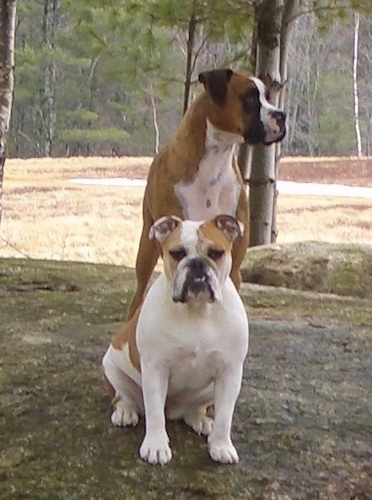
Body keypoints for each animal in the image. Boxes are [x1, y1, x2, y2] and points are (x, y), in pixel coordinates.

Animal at [126, 68, 286, 318]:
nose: (281, 115)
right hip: (147, 247)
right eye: (250, 99)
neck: (216, 159)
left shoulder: (233, 264)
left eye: (267, 97)